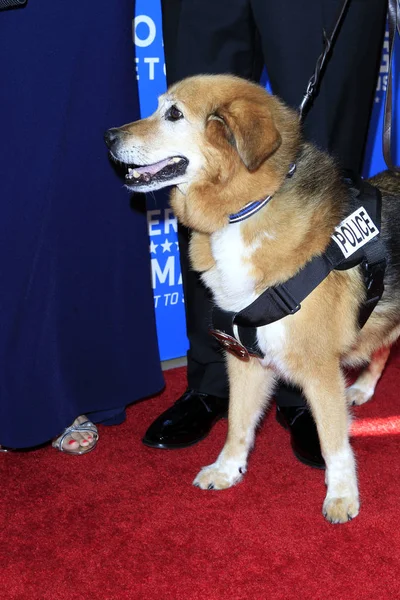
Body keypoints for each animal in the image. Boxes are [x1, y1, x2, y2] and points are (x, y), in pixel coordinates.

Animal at [104, 75, 400, 524]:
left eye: (174, 114)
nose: (108, 137)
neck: (244, 210)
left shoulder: (317, 367)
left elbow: (332, 438)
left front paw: (342, 495)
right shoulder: (244, 357)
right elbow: (237, 422)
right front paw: (228, 469)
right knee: (381, 346)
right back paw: (365, 387)